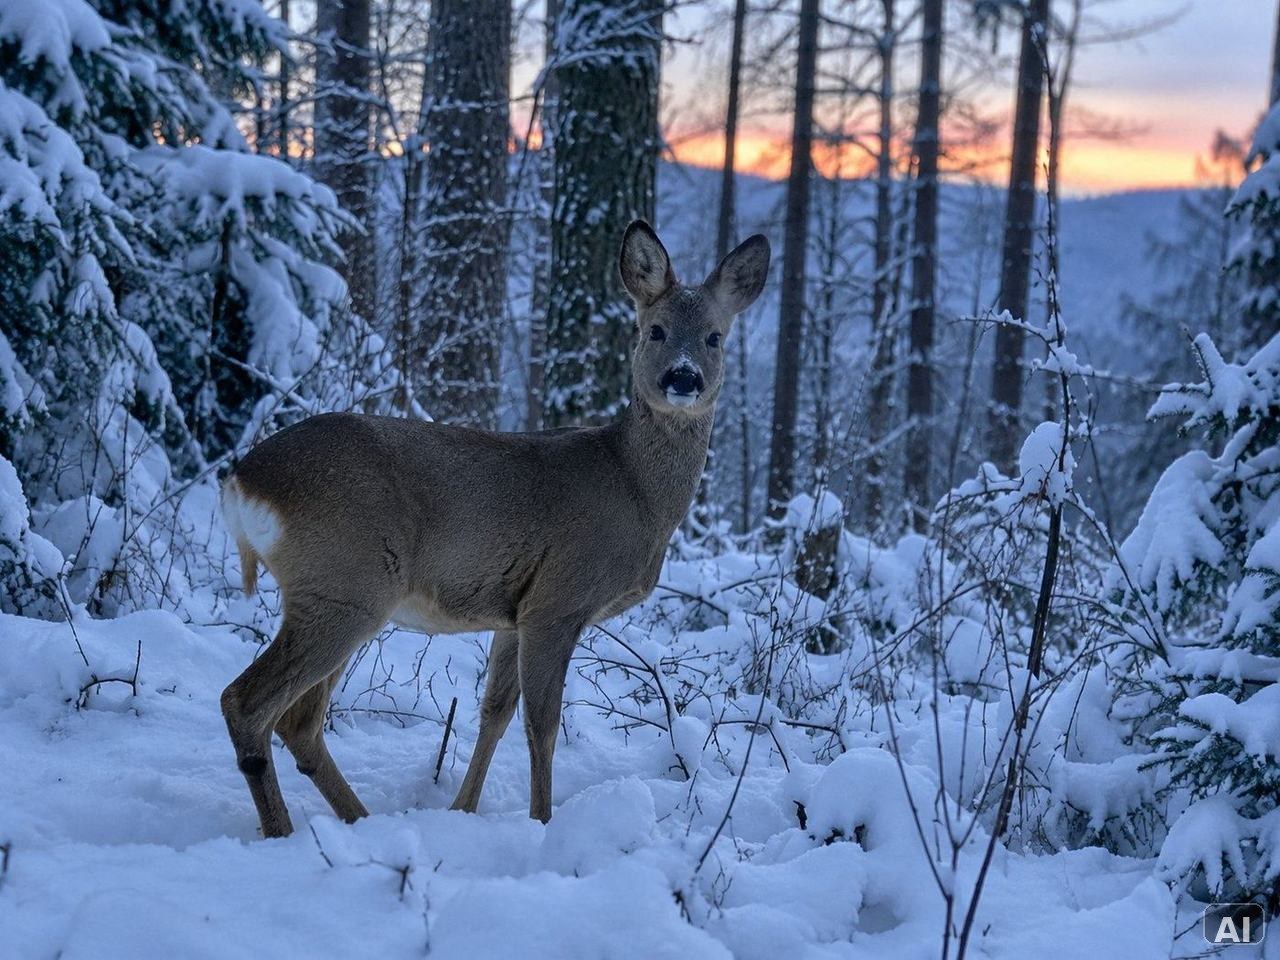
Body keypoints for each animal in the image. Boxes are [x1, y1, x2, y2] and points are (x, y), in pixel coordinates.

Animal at [218, 221, 770, 838]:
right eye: (654, 329)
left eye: (715, 337)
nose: (683, 377)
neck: (634, 491)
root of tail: (241, 479)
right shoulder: (558, 600)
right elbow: (542, 725)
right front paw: (543, 823)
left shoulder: (513, 612)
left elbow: (495, 712)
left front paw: (463, 810)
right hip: (344, 585)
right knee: (248, 702)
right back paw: (286, 832)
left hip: (338, 595)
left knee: (300, 722)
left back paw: (360, 821)